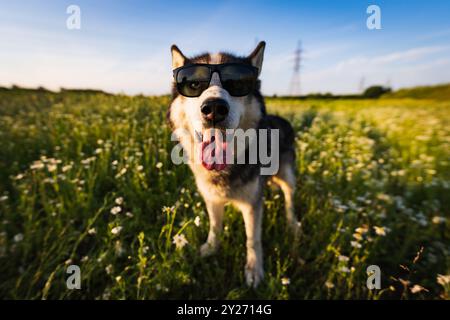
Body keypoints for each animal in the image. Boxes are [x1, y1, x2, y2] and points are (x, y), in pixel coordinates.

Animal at [168, 40, 298, 288]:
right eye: (194, 84)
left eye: (237, 83)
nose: (214, 108)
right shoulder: (212, 199)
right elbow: (215, 227)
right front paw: (210, 249)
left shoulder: (252, 204)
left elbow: (252, 239)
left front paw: (254, 270)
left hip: (287, 175)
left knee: (289, 198)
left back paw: (292, 223)